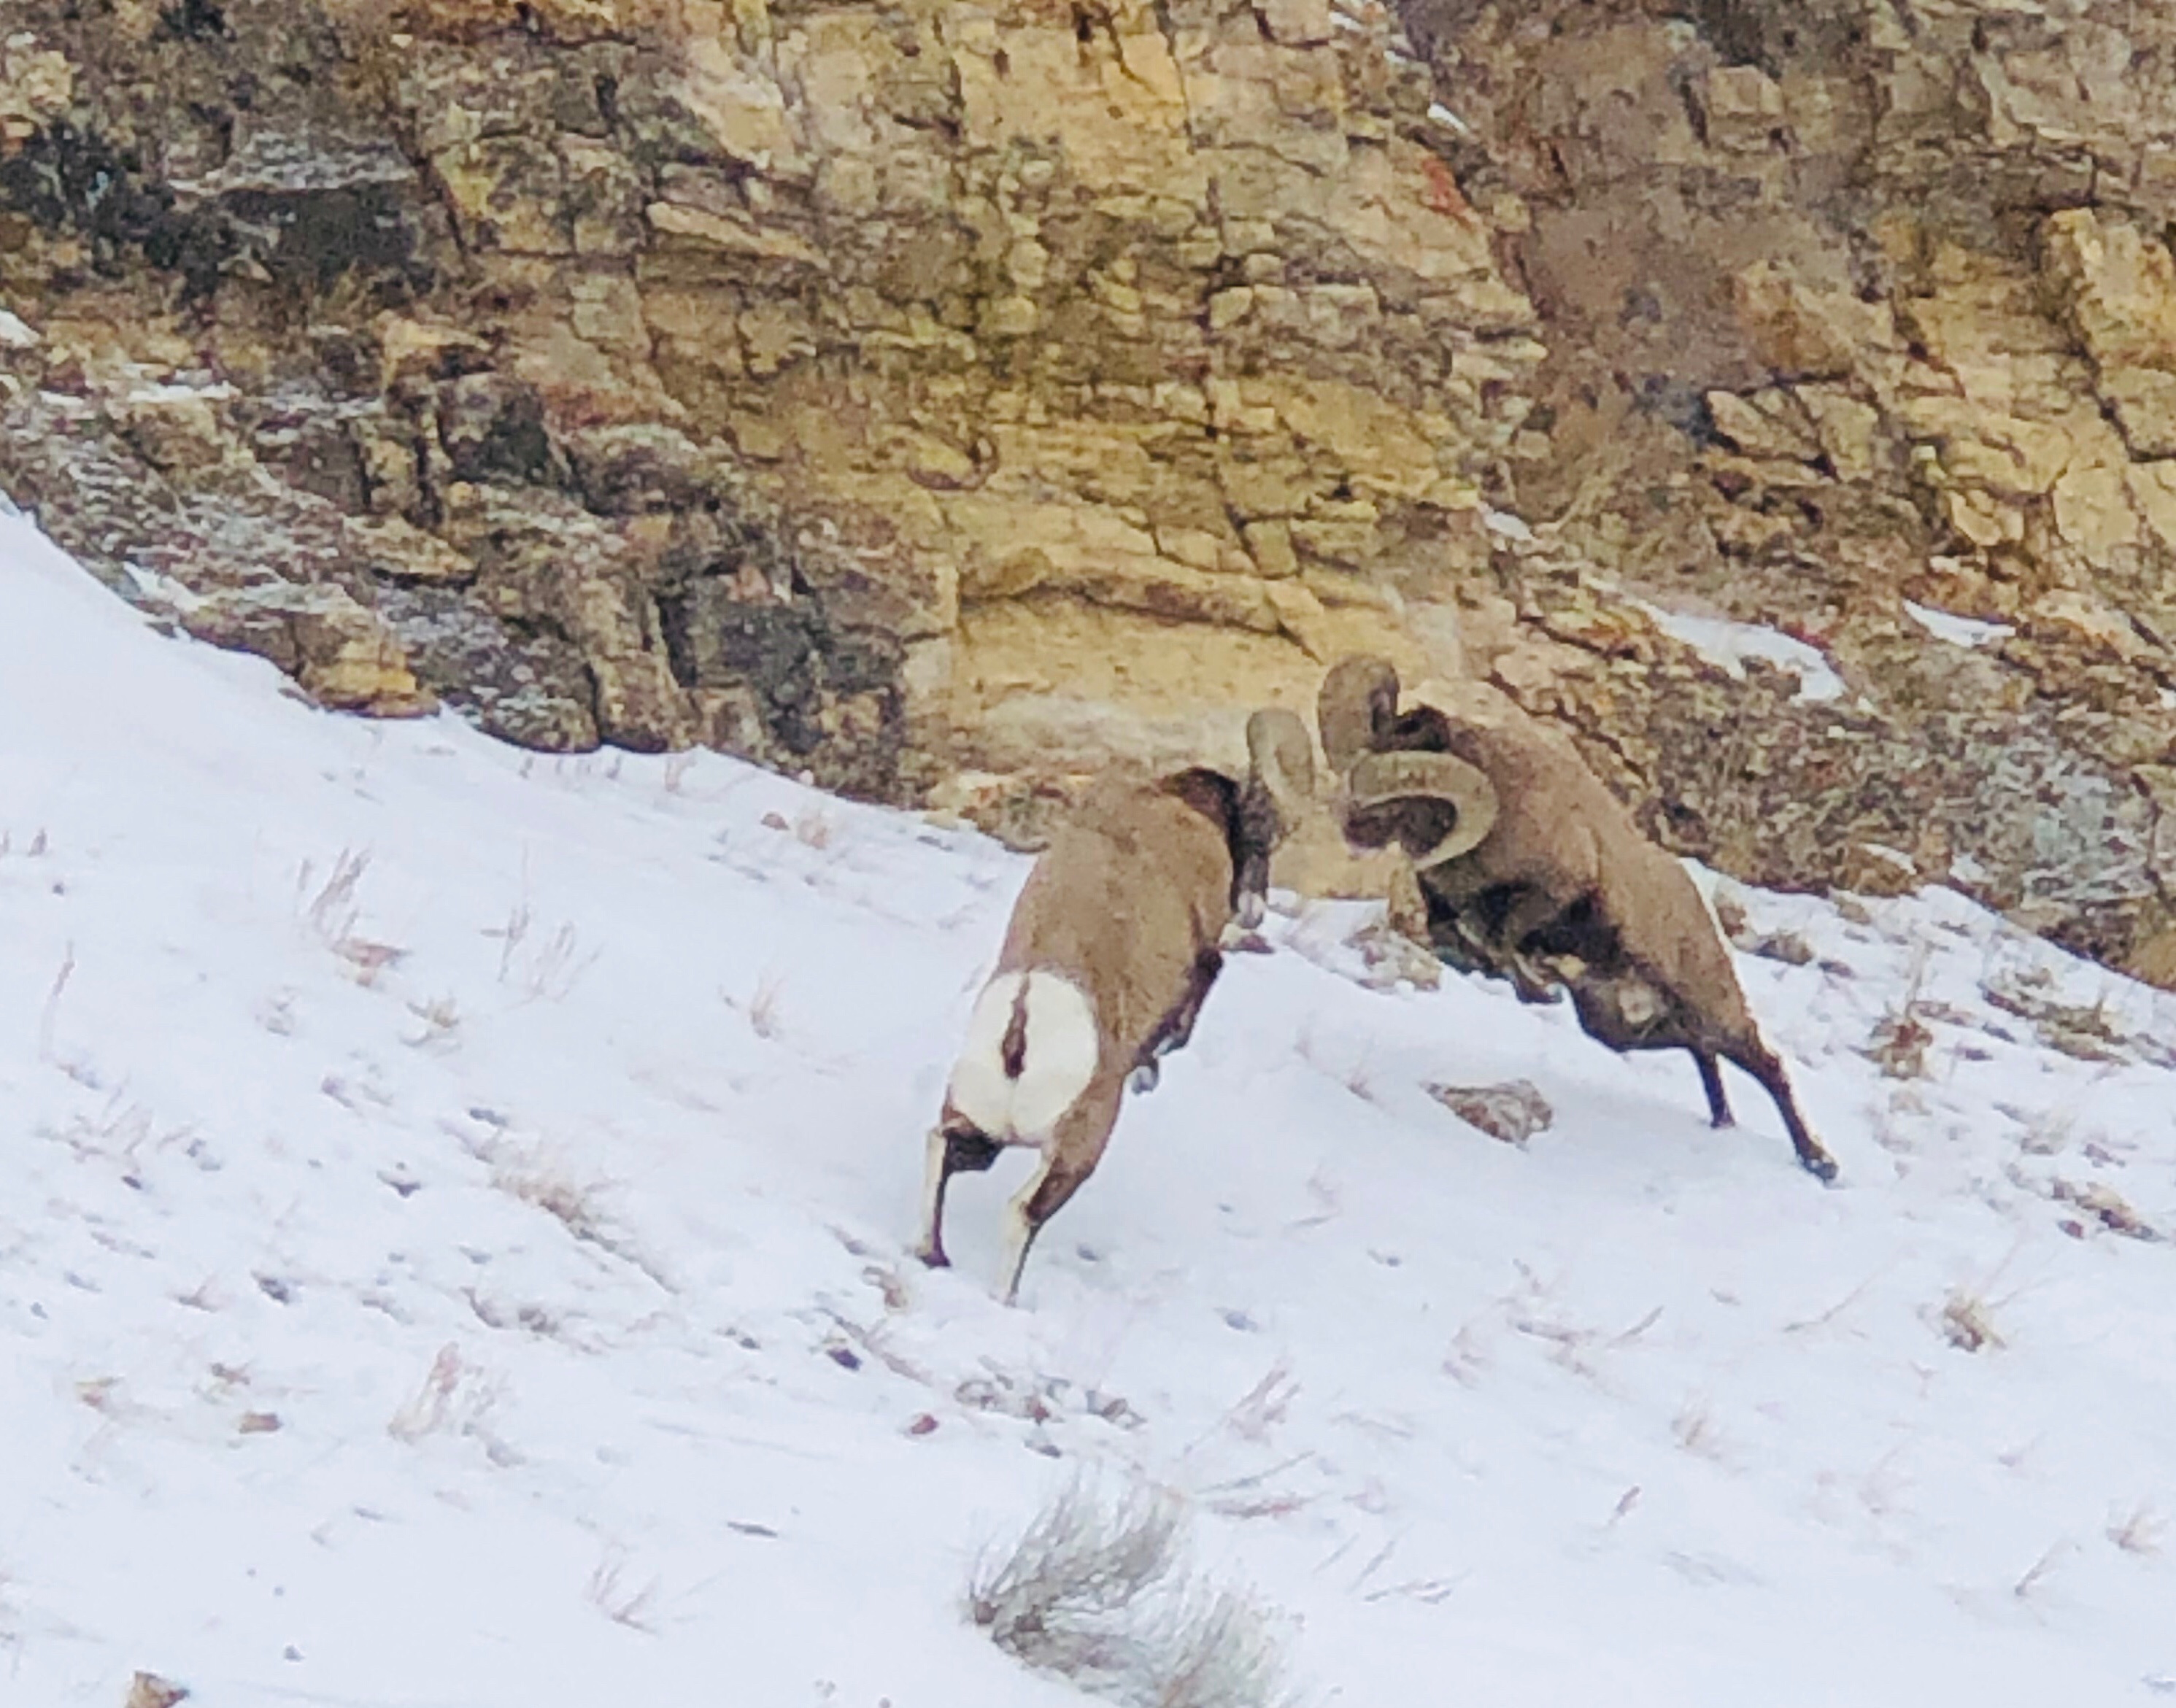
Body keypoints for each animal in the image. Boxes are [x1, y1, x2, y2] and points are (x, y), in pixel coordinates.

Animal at [914, 714, 1305, 1297]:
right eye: (1259, 839)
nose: (1256, 911)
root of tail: (1021, 1026)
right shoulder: (1202, 957)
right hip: (1072, 1153)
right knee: (1023, 1212)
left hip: (982, 1133)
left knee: (942, 1147)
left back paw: (932, 1254)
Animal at [1314, 661, 1845, 1183]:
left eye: (1402, 789)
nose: (1351, 827)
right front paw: (1535, 986)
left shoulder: (1554, 891)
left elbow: (1500, 938)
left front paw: (1539, 987)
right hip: (1616, 1026)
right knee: (1701, 1051)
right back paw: (1724, 1123)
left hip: (1711, 1009)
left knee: (1765, 1064)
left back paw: (1820, 1161)